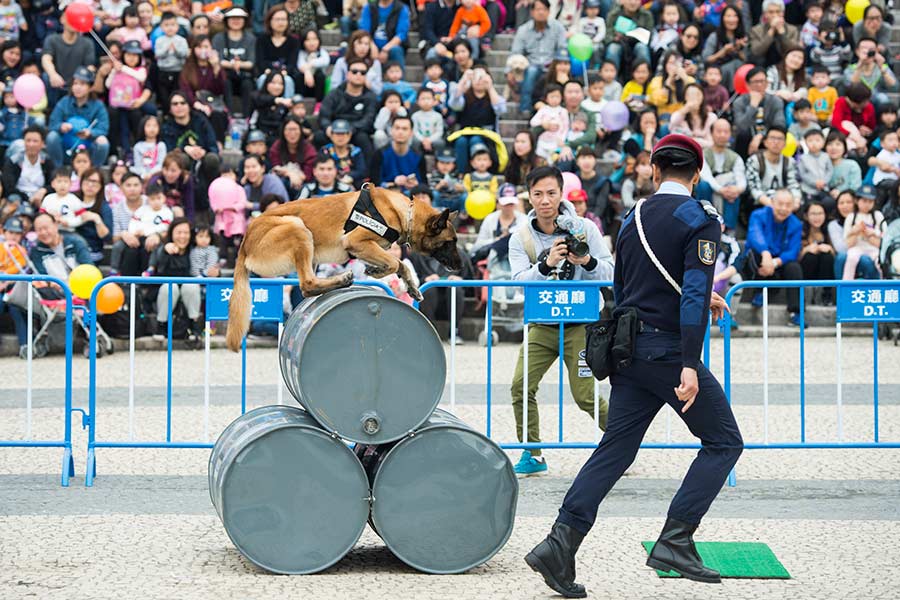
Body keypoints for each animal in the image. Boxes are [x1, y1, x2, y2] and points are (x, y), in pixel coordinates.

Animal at [227, 186, 458, 352]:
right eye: (449, 243)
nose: (460, 265)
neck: (404, 213)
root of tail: (244, 243)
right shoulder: (356, 242)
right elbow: (394, 262)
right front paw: (376, 272)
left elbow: (401, 265)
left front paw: (411, 287)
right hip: (297, 228)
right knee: (306, 284)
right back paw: (342, 280)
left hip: (310, 250)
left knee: (308, 286)